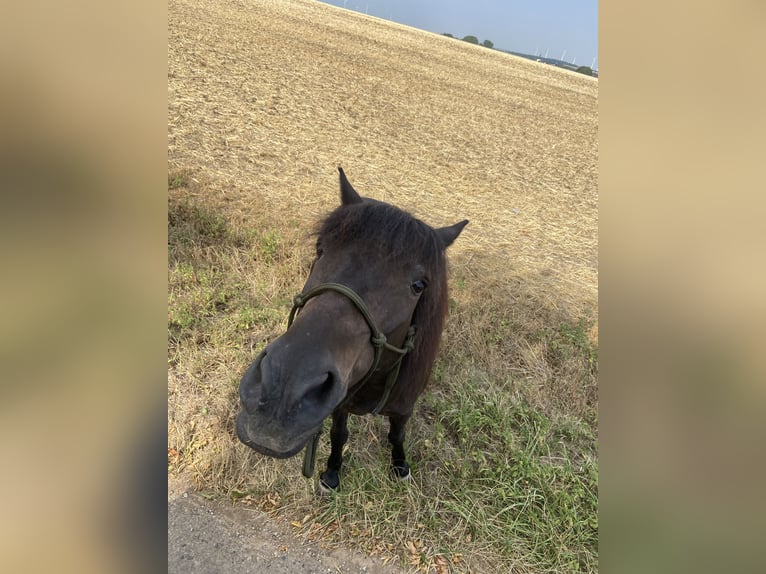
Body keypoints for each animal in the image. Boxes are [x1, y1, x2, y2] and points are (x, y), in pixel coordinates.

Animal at [236, 167, 468, 492]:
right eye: (320, 249)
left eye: (418, 285)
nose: (283, 389)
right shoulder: (340, 406)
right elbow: (339, 436)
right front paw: (332, 473)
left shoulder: (404, 408)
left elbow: (397, 434)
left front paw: (400, 465)